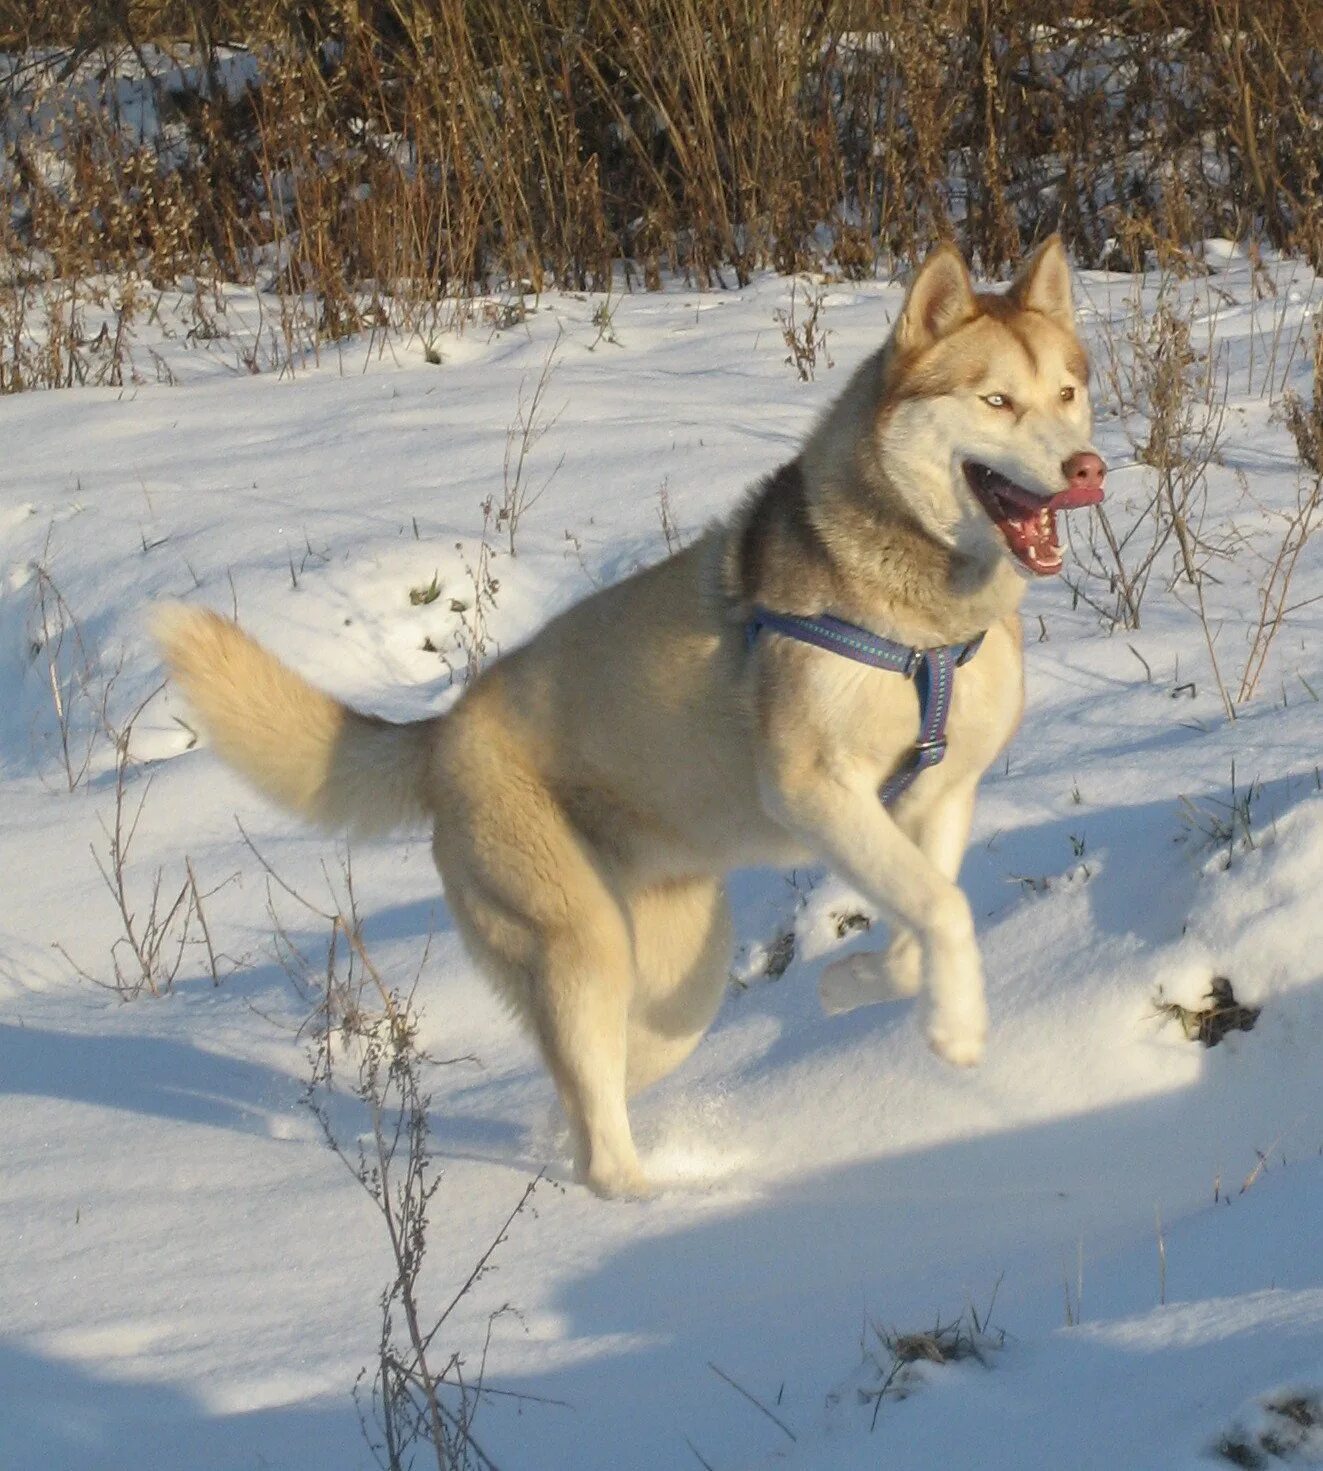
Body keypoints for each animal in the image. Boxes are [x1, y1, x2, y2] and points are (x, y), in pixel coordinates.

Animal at [157, 232, 1106, 1194]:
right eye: (995, 399)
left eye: (1066, 393)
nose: (1085, 469)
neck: (921, 624)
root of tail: (442, 733)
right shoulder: (811, 789)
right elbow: (942, 909)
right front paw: (956, 1031)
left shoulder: (937, 795)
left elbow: (925, 921)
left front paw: (852, 986)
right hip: (582, 945)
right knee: (599, 1136)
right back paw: (655, 1203)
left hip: (678, 987)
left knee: (591, 1095)